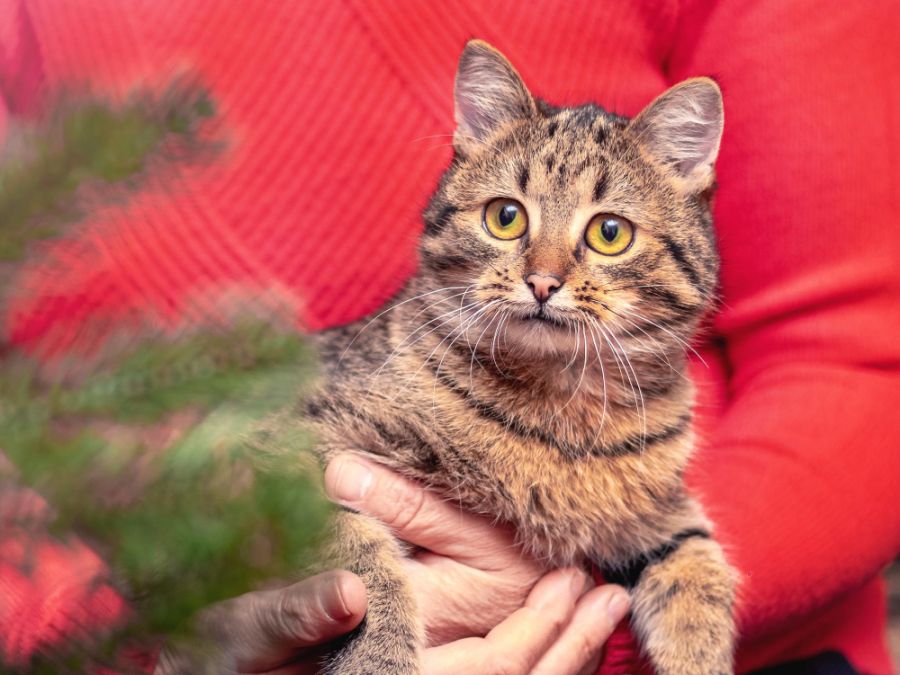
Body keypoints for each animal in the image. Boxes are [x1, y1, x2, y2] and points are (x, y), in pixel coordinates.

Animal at [284, 41, 740, 675]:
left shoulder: (663, 518)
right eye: (506, 216)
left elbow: (698, 571)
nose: (542, 282)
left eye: (610, 232)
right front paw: (378, 656)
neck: (561, 406)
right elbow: (357, 550)